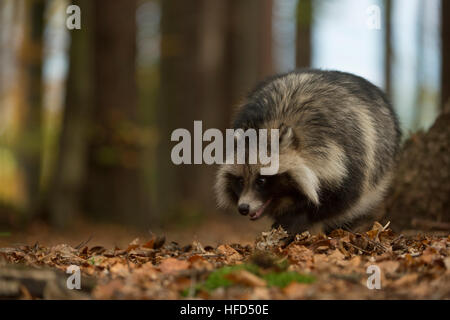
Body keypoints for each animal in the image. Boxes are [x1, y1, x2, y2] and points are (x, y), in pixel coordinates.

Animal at [214, 69, 400, 235]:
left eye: (261, 180)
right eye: (240, 181)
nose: (243, 208)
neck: (269, 125)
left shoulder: (350, 153)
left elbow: (340, 201)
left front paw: (294, 222)